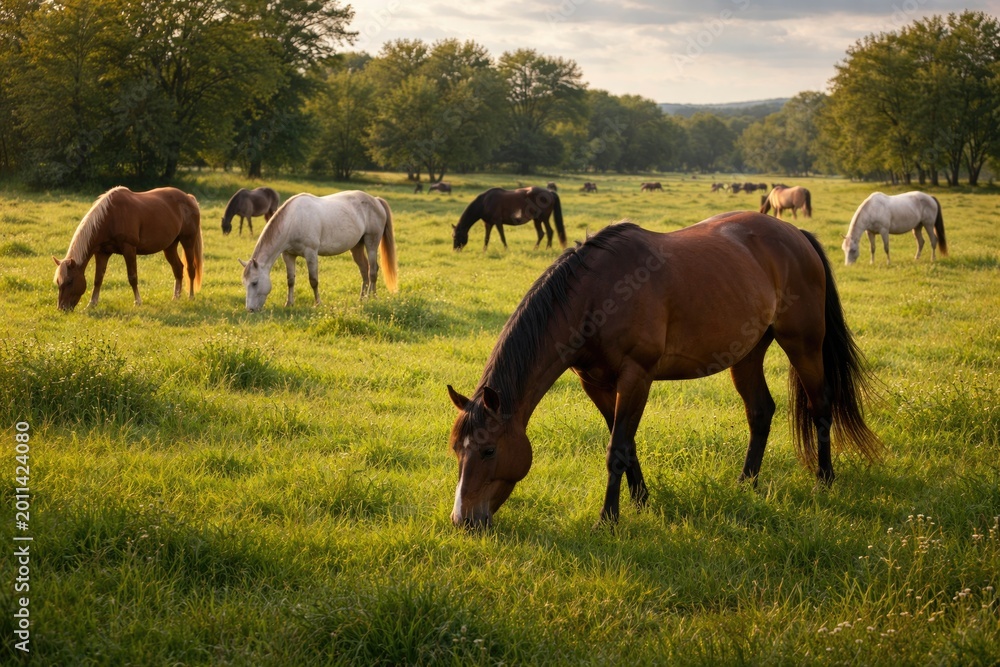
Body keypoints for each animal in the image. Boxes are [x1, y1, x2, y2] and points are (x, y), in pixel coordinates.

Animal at [52, 186, 203, 311]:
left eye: (70, 281)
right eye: (58, 282)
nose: (62, 308)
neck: (110, 216)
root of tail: (189, 198)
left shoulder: (129, 249)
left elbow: (132, 277)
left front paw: (138, 302)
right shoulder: (102, 253)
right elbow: (98, 279)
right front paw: (92, 303)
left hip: (188, 242)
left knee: (191, 269)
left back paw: (191, 296)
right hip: (170, 246)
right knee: (178, 268)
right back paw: (176, 297)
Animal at [239, 190, 398, 311]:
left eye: (255, 282)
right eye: (244, 283)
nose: (250, 309)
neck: (293, 220)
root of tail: (376, 200)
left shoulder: (311, 253)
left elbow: (313, 280)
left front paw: (317, 303)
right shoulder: (288, 255)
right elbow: (290, 280)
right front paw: (289, 303)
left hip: (372, 243)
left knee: (373, 270)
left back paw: (372, 297)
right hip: (356, 246)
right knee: (364, 269)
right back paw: (363, 298)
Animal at [446, 213, 882, 529]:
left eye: (488, 449)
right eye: (456, 449)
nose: (463, 520)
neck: (596, 296)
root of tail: (796, 234)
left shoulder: (636, 377)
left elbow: (617, 447)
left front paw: (609, 519)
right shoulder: (595, 384)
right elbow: (626, 444)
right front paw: (641, 501)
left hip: (803, 344)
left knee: (820, 405)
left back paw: (824, 479)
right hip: (747, 354)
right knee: (760, 411)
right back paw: (747, 483)